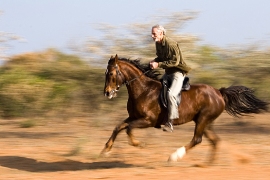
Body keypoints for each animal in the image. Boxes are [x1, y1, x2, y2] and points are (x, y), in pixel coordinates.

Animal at [101, 54, 268, 162]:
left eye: (111, 73)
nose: (107, 93)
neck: (143, 90)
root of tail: (219, 92)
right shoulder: (133, 117)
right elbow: (118, 127)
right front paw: (106, 150)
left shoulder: (148, 120)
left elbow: (128, 129)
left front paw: (138, 144)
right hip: (205, 122)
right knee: (215, 140)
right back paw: (207, 165)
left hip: (203, 119)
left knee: (197, 139)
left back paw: (173, 157)